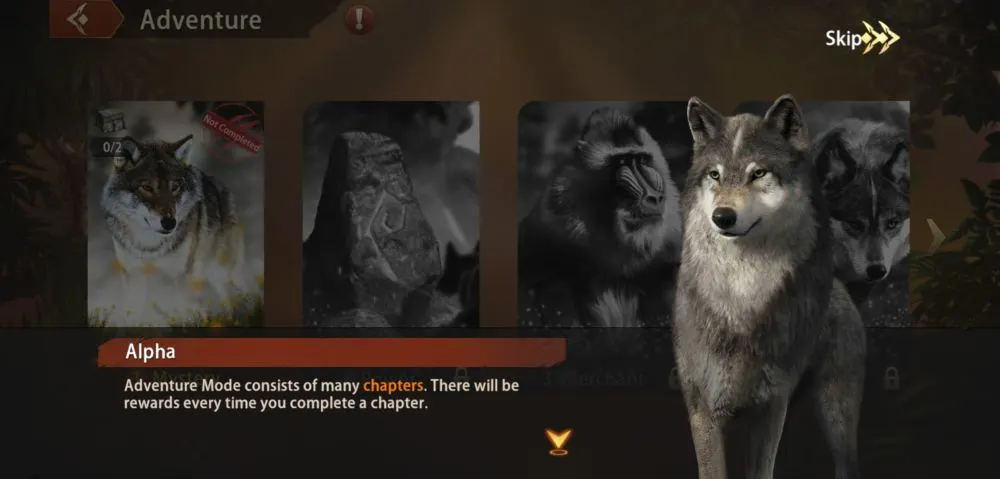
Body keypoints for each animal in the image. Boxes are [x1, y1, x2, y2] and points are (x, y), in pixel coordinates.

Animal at [101, 134, 247, 323]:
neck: (150, 246)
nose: (170, 223)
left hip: (223, 272)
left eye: (175, 187)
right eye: (147, 187)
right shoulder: (133, 275)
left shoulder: (182, 275)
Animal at [672, 95, 866, 479]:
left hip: (835, 415)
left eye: (758, 173)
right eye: (715, 175)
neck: (741, 299)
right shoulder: (704, 410)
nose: (722, 217)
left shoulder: (770, 407)